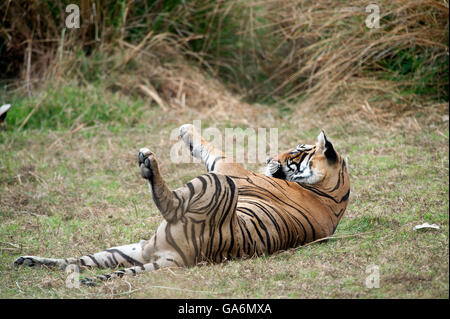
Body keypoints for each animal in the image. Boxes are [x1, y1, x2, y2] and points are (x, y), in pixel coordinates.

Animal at [13, 124, 352, 286]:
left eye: (295, 151)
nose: (270, 157)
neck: (332, 193)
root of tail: (176, 258)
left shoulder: (231, 170)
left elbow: (214, 149)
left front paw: (187, 129)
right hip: (129, 251)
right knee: (76, 261)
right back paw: (28, 262)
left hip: (215, 184)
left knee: (172, 202)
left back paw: (148, 163)